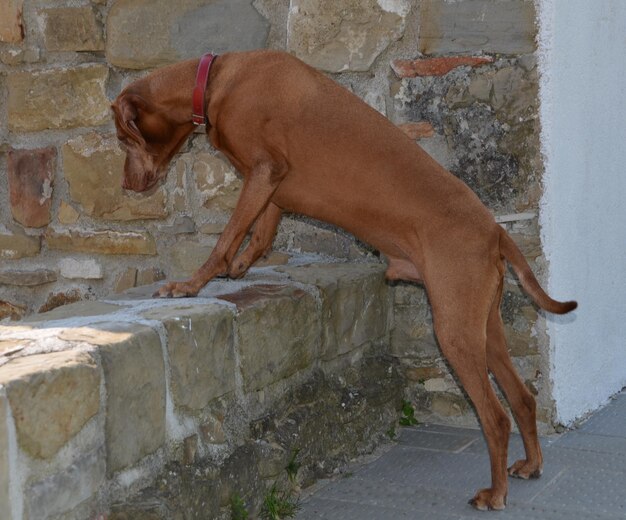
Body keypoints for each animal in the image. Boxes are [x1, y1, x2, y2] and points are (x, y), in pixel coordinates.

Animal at [111, 49, 576, 512]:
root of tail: (494, 231)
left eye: (123, 138)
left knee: (496, 416)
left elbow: (226, 237)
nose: (125, 185)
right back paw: (531, 465)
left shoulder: (263, 169)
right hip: (485, 328)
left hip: (454, 330)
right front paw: (239, 267)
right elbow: (260, 234)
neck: (216, 81)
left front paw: (191, 284)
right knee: (523, 398)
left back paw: (495, 493)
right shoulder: (273, 185)